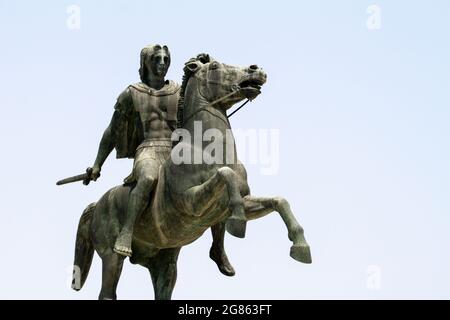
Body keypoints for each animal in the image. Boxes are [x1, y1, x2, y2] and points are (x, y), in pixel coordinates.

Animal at [72, 55, 312, 300]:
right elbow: (225, 175)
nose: (256, 69)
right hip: (111, 256)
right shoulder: (190, 203)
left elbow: (279, 201)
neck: (208, 150)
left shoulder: (242, 201)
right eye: (214, 66)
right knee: (108, 288)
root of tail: (98, 204)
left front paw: (300, 245)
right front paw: (238, 222)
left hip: (164, 262)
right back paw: (122, 244)